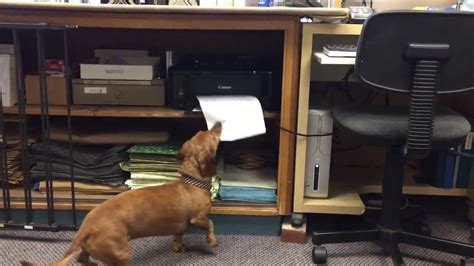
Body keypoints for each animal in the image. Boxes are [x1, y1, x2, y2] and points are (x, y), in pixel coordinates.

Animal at [20, 122, 222, 266]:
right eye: (212, 135)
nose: (218, 123)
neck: (191, 181)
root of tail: (86, 227)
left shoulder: (179, 227)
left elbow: (178, 237)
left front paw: (178, 247)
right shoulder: (198, 218)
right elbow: (211, 223)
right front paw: (212, 240)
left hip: (91, 248)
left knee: (82, 258)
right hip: (122, 253)